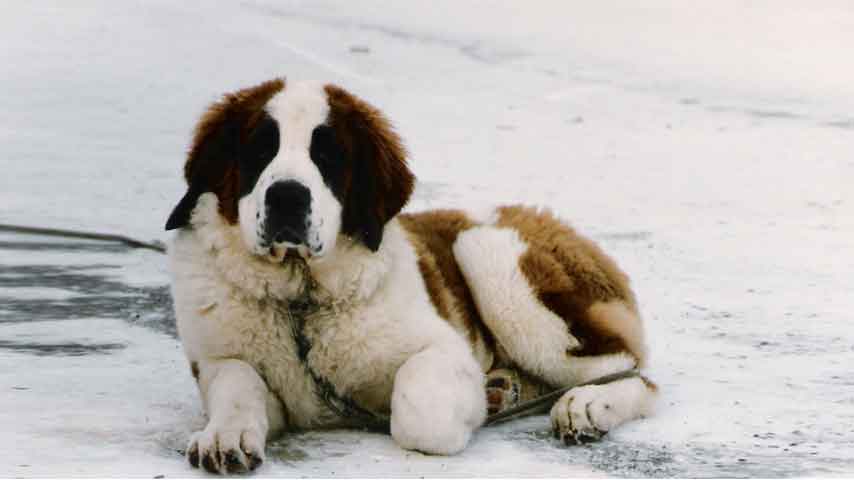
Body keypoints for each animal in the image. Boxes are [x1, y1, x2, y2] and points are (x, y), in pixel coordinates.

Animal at [169, 78, 664, 472]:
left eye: (328, 157)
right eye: (260, 150)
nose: (287, 196)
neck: (301, 301)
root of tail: (546, 218)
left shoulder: (441, 349)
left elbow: (419, 412)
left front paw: (471, 405)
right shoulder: (217, 360)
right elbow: (237, 384)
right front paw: (225, 435)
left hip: (489, 254)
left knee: (634, 375)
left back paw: (585, 404)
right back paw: (505, 388)